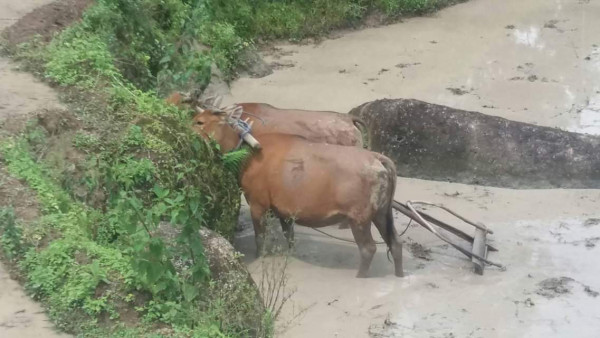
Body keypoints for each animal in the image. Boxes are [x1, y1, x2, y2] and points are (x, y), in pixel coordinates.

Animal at [193, 108, 404, 278]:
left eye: (199, 121)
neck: (247, 154)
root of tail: (377, 158)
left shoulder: (257, 203)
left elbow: (260, 238)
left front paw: (260, 256)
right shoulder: (284, 211)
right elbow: (290, 237)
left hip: (359, 217)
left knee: (368, 248)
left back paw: (361, 276)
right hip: (381, 212)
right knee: (396, 243)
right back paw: (399, 274)